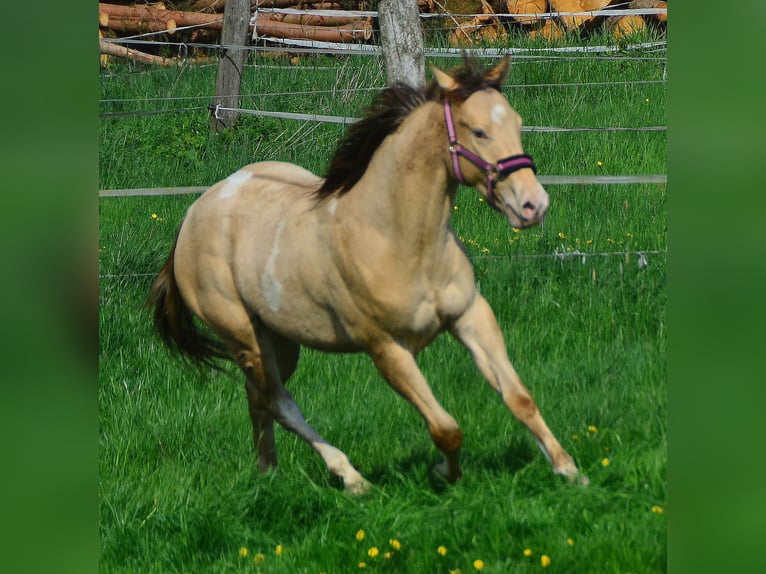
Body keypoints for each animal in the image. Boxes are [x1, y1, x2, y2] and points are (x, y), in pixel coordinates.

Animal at [148, 57, 588, 496]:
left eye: (517, 123)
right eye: (478, 131)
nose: (533, 205)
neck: (402, 241)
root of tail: (193, 215)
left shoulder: (471, 316)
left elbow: (519, 398)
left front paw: (570, 471)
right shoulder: (387, 349)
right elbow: (445, 428)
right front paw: (443, 474)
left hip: (280, 340)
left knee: (259, 398)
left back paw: (269, 474)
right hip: (244, 338)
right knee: (279, 401)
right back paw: (351, 478)